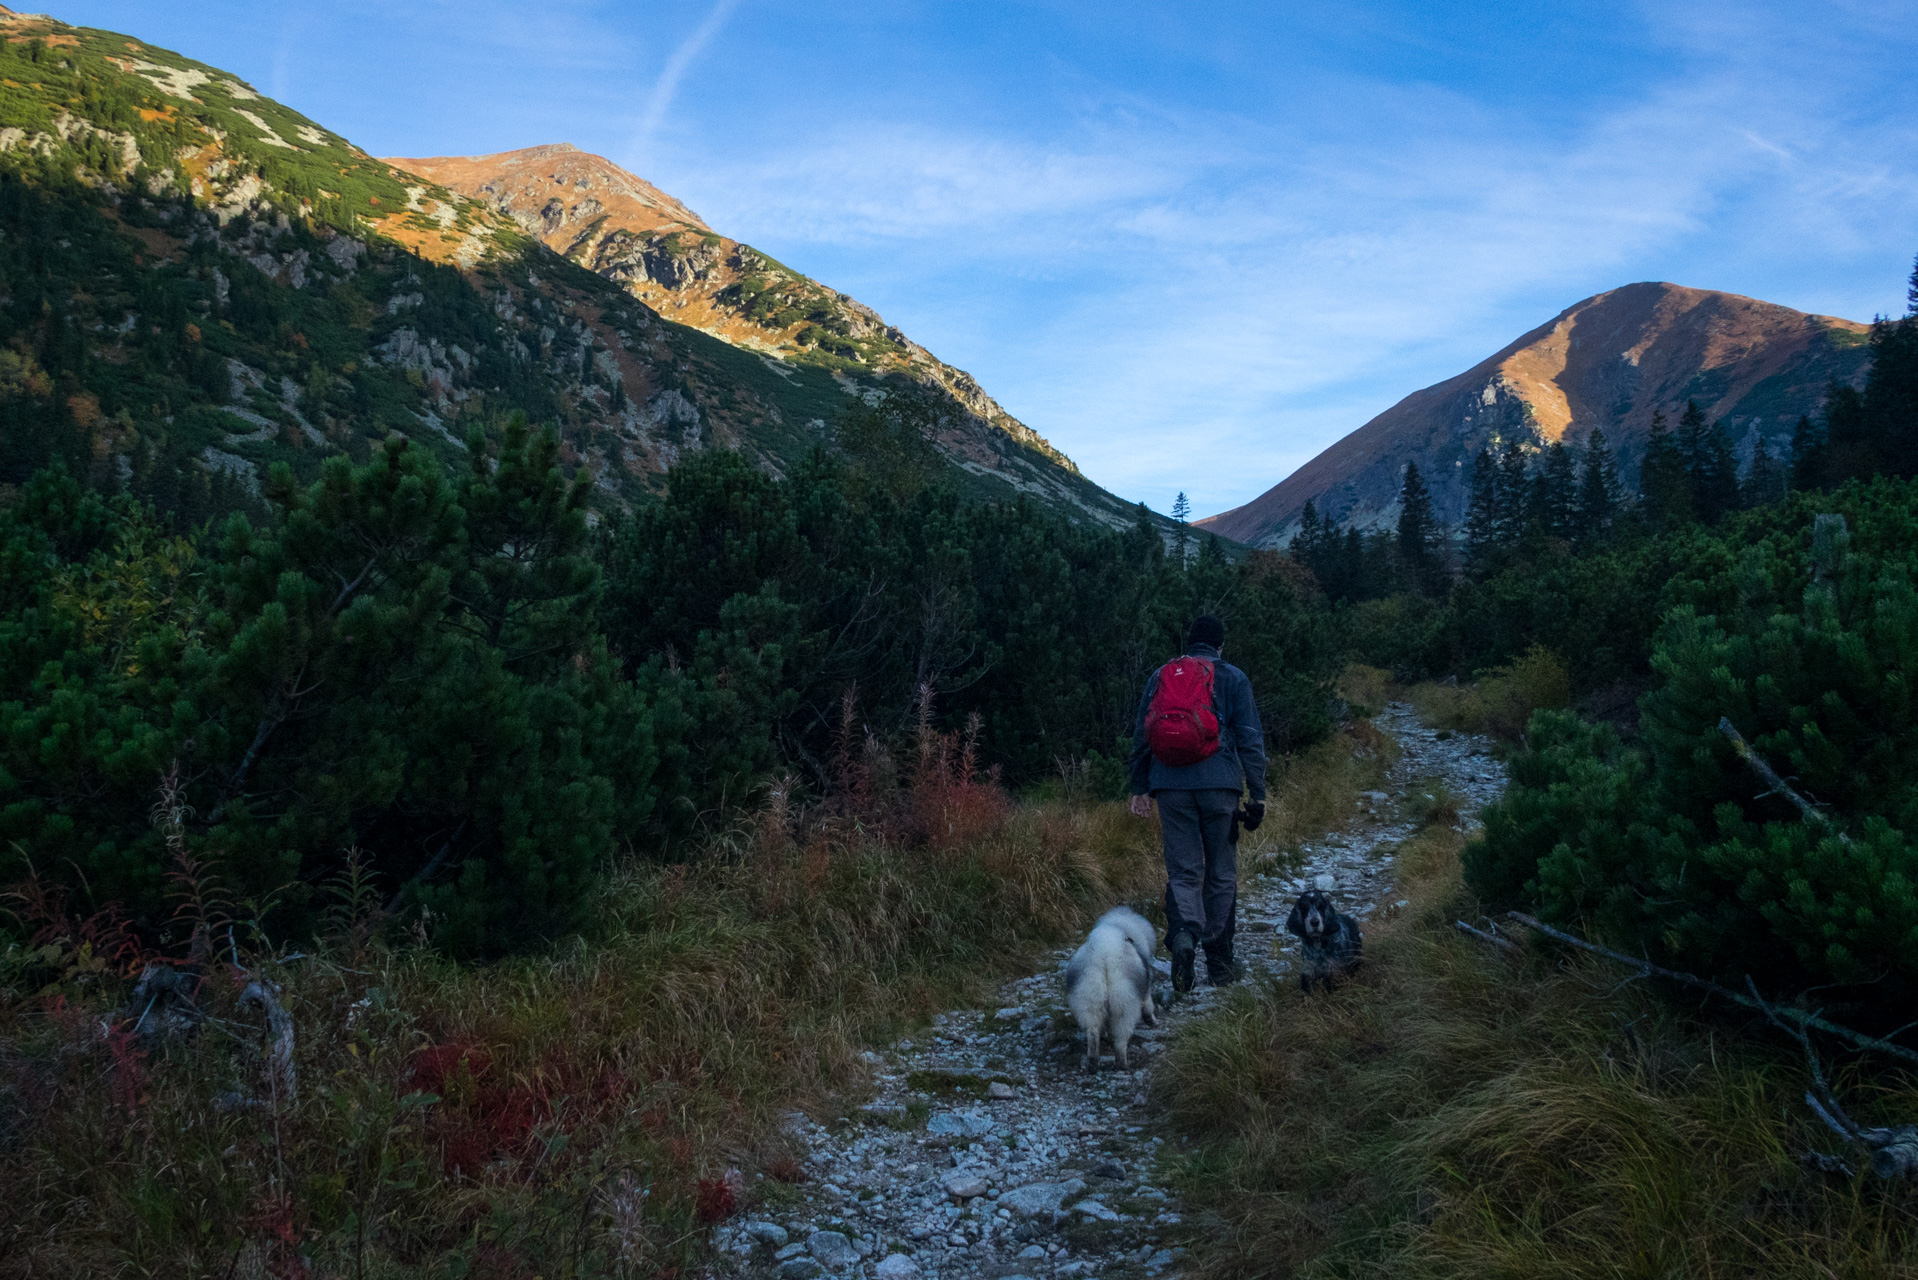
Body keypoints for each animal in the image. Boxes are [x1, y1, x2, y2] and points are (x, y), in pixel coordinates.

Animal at [1066, 905, 1150, 1074]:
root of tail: (1105, 951)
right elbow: (1149, 1005)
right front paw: (1152, 1021)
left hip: (1090, 997)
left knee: (1092, 1033)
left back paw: (1092, 1064)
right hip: (1124, 1004)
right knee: (1121, 1039)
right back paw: (1122, 1064)